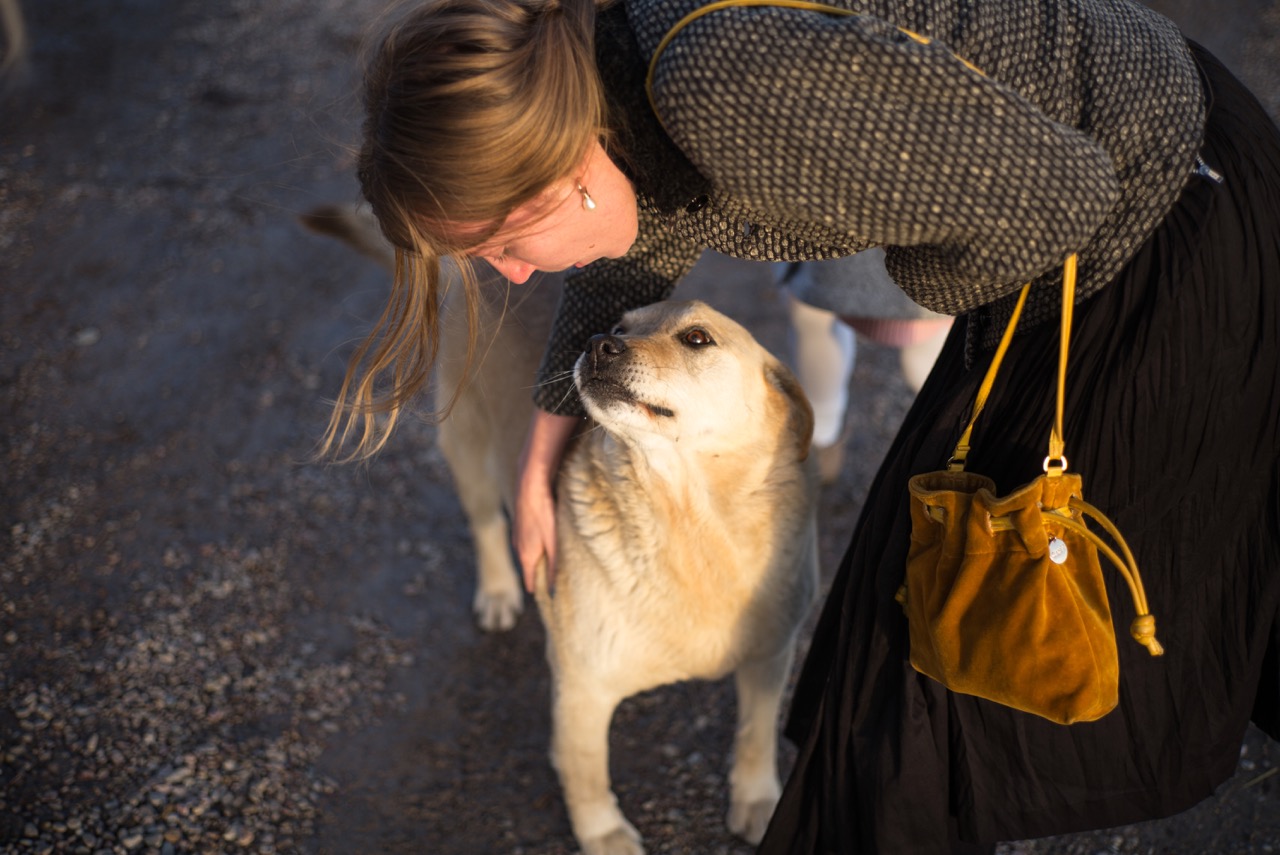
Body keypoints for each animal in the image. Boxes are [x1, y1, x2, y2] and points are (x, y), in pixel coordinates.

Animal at [300, 203, 819, 849]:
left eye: (697, 338)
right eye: (619, 325)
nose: (598, 344)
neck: (686, 520)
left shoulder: (771, 656)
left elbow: (754, 736)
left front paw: (756, 799)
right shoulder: (582, 687)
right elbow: (586, 771)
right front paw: (603, 834)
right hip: (468, 452)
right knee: (486, 527)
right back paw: (499, 591)